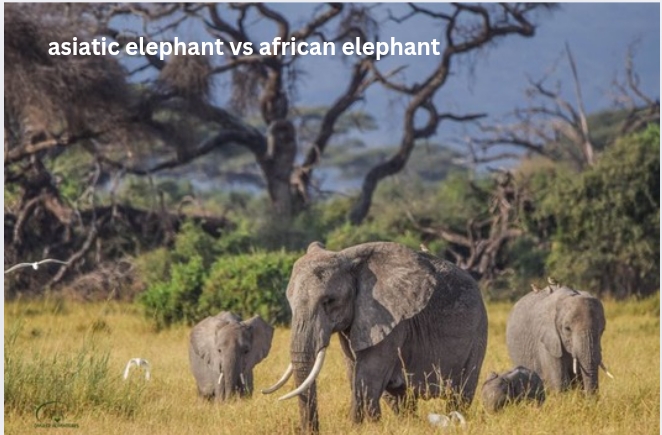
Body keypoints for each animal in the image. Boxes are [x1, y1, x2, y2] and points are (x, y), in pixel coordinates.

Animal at [264, 241, 488, 433]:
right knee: (399, 398)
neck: (350, 261)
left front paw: (360, 429)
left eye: (329, 301)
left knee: (460, 394)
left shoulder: (393, 320)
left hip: (478, 332)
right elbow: (355, 373)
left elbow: (366, 377)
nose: (312, 431)